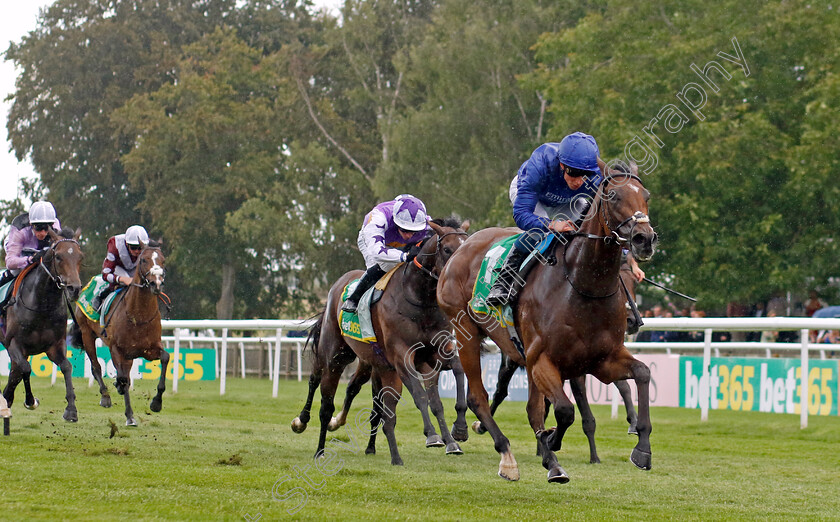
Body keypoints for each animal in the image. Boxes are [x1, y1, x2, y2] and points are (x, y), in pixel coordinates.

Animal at [1, 228, 83, 418]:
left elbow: (66, 366)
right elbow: (25, 368)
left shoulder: (55, 345)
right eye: (58, 256)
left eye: (80, 257)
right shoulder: (14, 343)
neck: (42, 306)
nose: (74, 289)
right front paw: (31, 401)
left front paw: (71, 409)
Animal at [70, 242, 167, 424]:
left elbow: (165, 358)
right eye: (143, 260)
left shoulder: (149, 349)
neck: (138, 316)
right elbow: (123, 379)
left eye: (163, 261)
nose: (156, 283)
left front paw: (156, 402)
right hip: (87, 334)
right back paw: (106, 396)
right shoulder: (116, 349)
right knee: (96, 367)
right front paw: (129, 415)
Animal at [292, 216, 470, 464]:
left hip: (368, 362)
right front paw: (432, 435)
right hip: (335, 355)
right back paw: (312, 437)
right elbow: (420, 396)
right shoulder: (401, 356)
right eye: (446, 249)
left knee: (355, 390)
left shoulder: (436, 351)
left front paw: (458, 431)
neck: (420, 301)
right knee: (320, 390)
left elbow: (456, 374)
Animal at [440, 166, 656, 480]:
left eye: (646, 196)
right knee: (478, 398)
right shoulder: (543, 360)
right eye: (613, 195)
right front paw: (551, 439)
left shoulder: (602, 360)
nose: (644, 238)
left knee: (531, 408)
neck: (582, 286)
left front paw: (642, 448)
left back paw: (549, 461)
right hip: (466, 331)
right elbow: (564, 411)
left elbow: (641, 373)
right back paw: (507, 456)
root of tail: (462, 245)